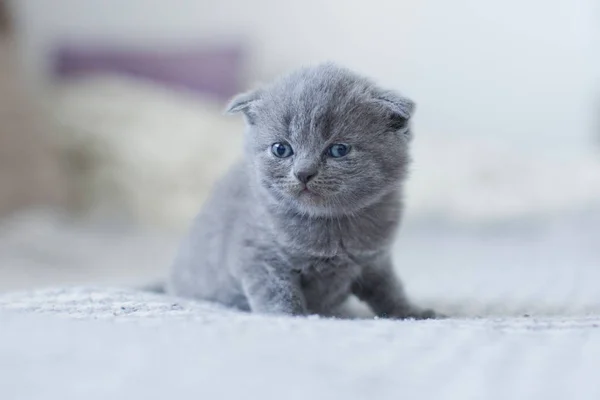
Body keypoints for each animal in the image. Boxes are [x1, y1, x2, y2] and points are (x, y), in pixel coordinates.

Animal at [166, 62, 438, 318]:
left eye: (339, 150)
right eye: (281, 149)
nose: (303, 173)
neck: (331, 228)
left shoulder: (375, 260)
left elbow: (389, 290)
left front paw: (412, 312)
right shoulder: (259, 256)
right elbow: (278, 291)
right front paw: (291, 318)